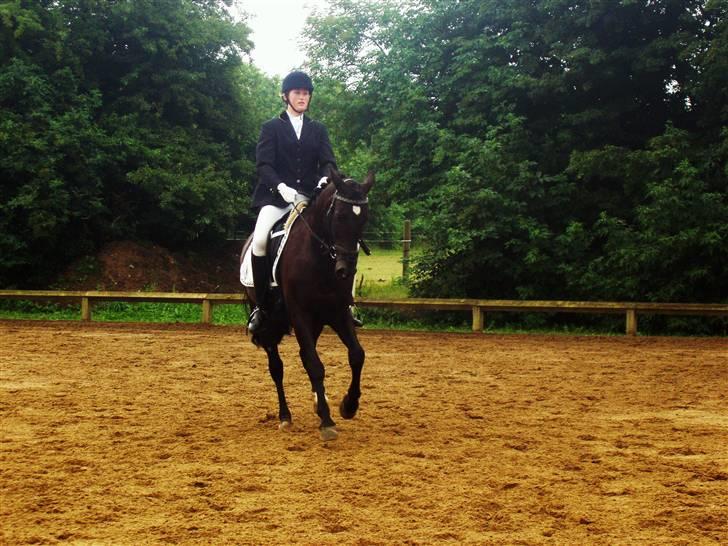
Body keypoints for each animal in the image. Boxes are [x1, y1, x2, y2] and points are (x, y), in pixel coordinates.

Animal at [240, 170, 374, 441]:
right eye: (339, 216)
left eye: (364, 218)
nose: (346, 270)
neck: (319, 258)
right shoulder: (299, 313)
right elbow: (314, 364)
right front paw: (327, 422)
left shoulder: (337, 312)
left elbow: (357, 355)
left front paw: (348, 405)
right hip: (269, 322)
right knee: (277, 367)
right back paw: (285, 416)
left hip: (317, 320)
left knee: (305, 354)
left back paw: (318, 402)